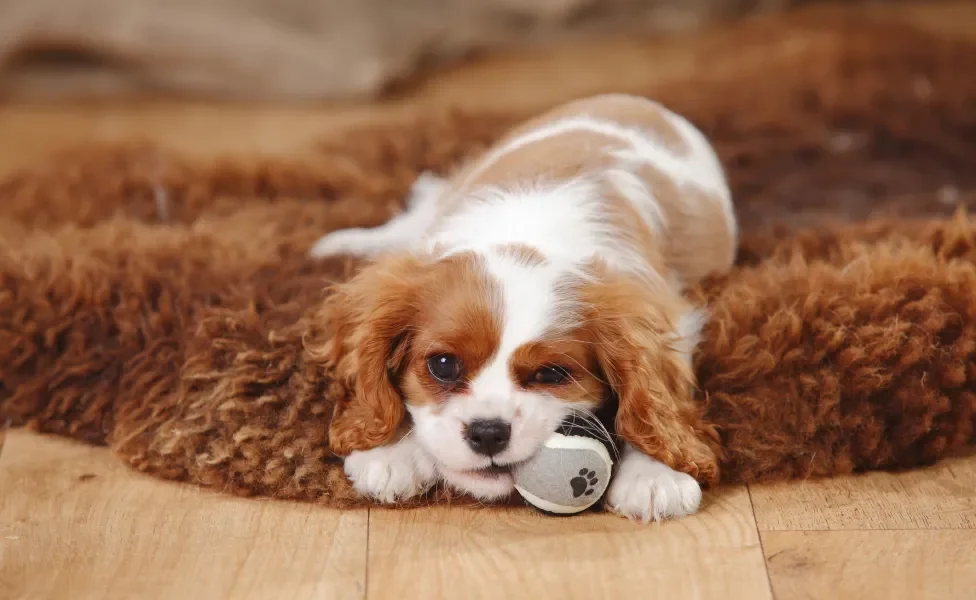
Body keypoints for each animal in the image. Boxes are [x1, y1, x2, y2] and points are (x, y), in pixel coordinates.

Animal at [308, 94, 736, 520]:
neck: (526, 232)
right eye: (443, 365)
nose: (488, 432)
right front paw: (391, 450)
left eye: (550, 373)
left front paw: (656, 472)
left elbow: (658, 395)